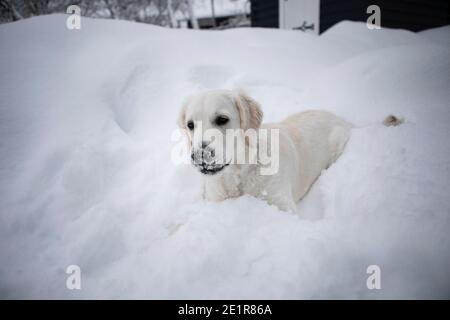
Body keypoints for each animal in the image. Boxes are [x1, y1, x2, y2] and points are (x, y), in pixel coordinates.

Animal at [178, 89, 354, 212]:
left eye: (222, 119)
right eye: (190, 125)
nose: (198, 155)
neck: (240, 173)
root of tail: (341, 119)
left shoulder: (282, 204)